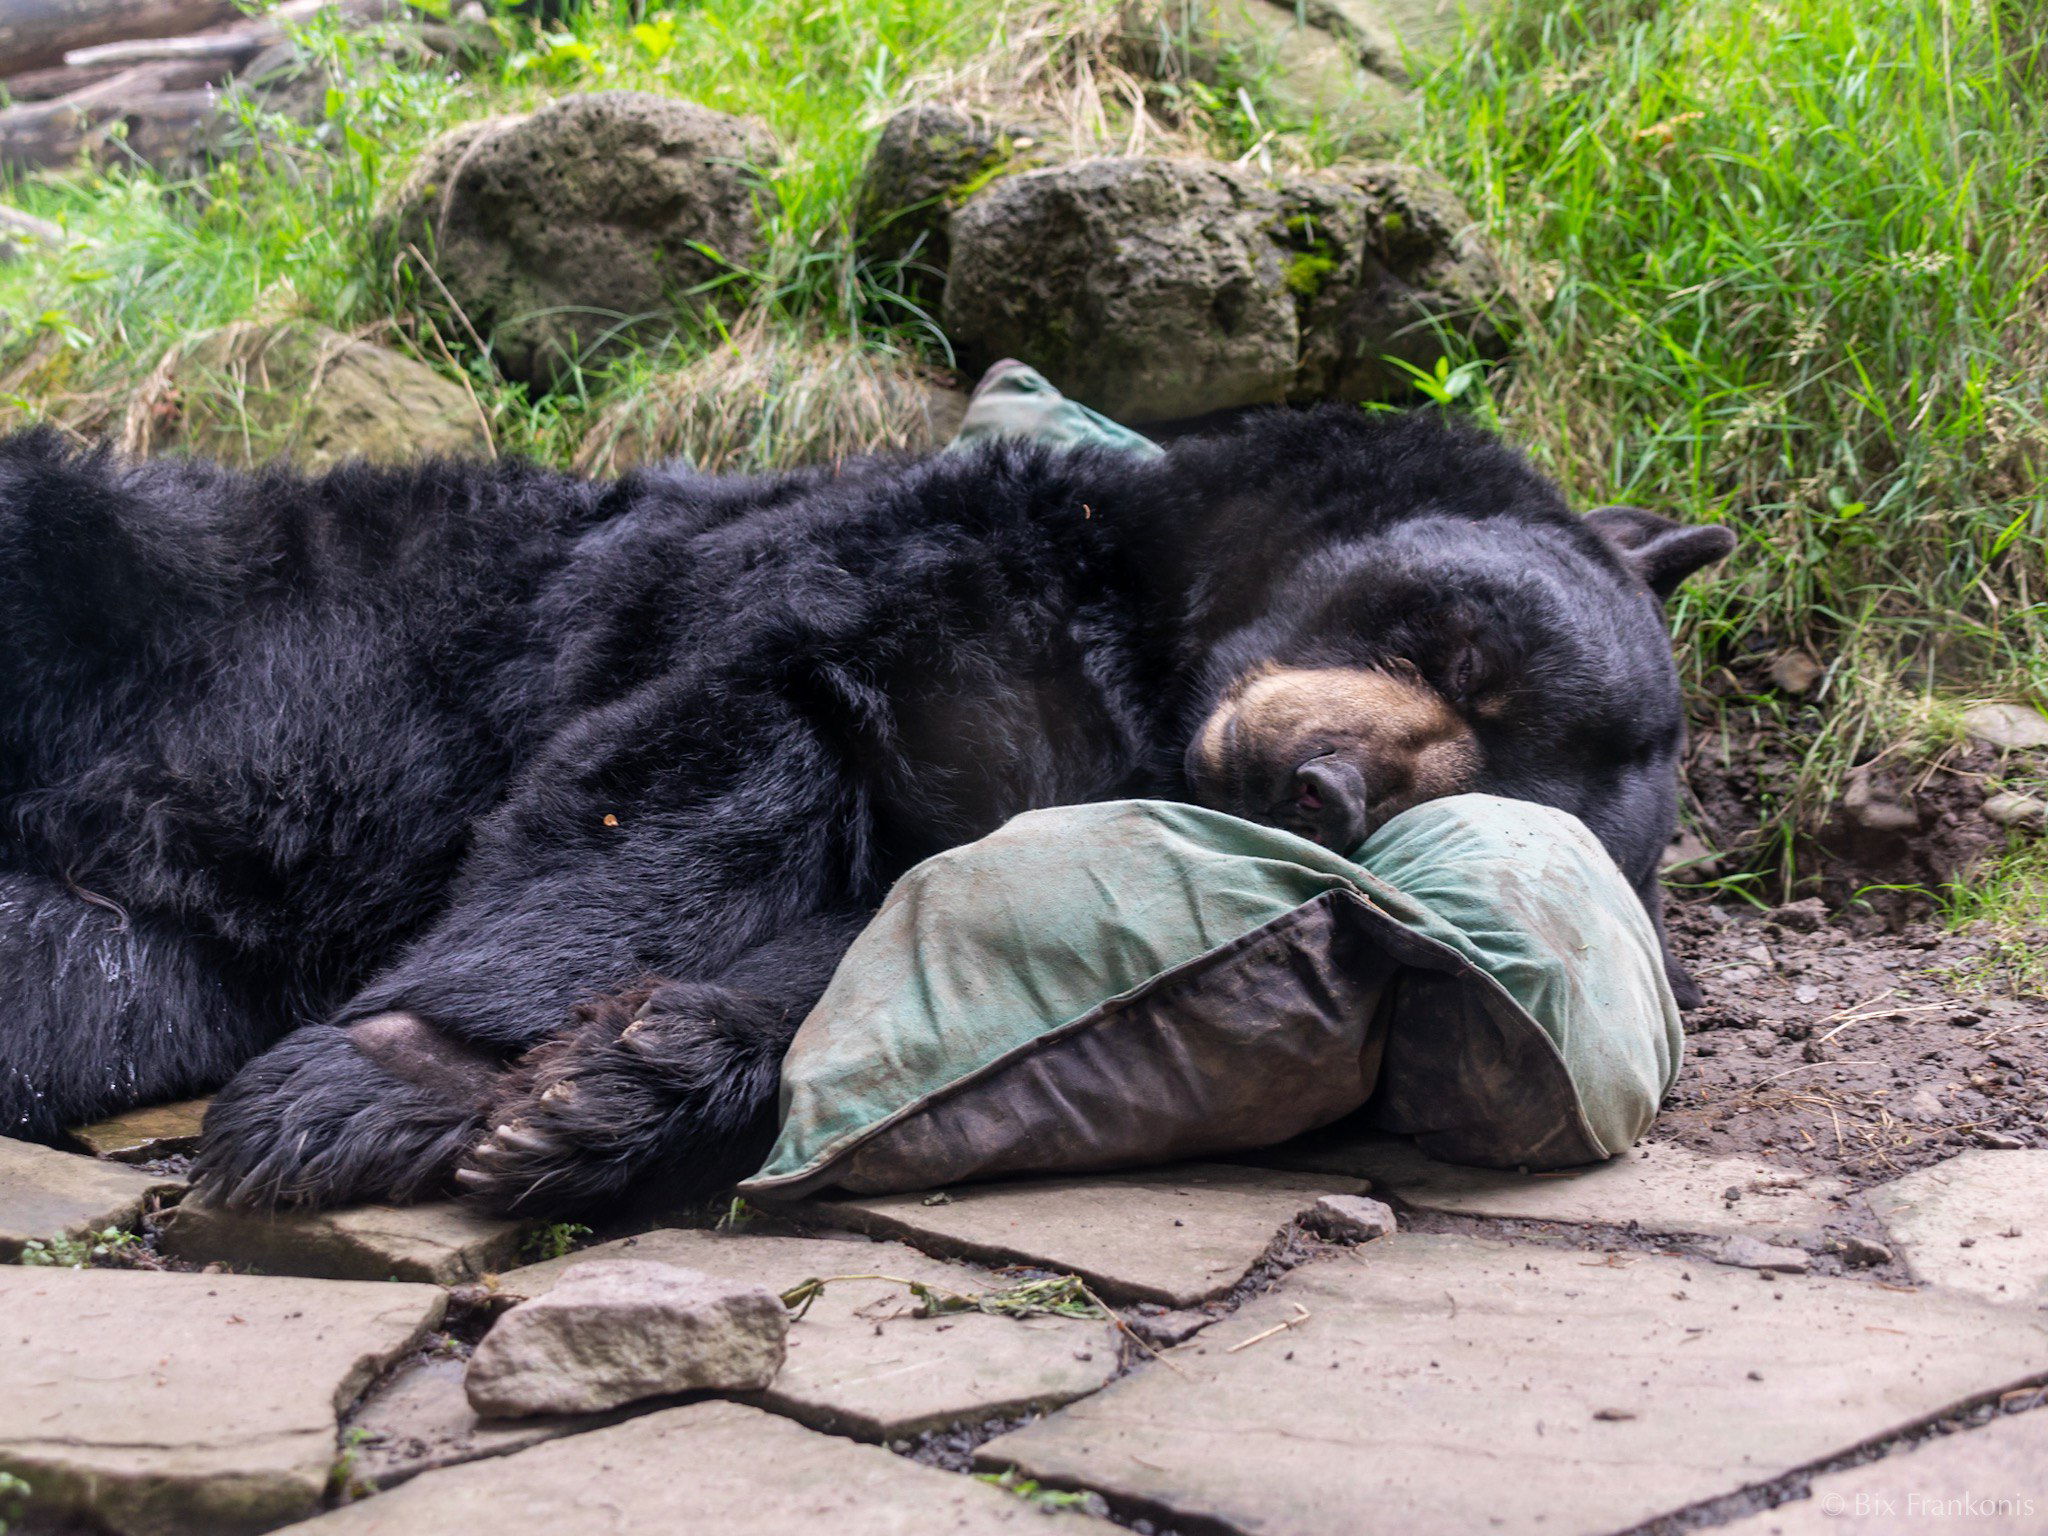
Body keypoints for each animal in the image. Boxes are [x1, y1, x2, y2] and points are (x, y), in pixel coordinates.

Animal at [0, 405, 1728, 1212]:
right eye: (1452, 647)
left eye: (1488, 779)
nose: (1324, 785)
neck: (1150, 667)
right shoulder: (922, 571)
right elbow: (709, 758)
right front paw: (372, 1088)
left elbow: (887, 954)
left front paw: (616, 1086)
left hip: (127, 952)